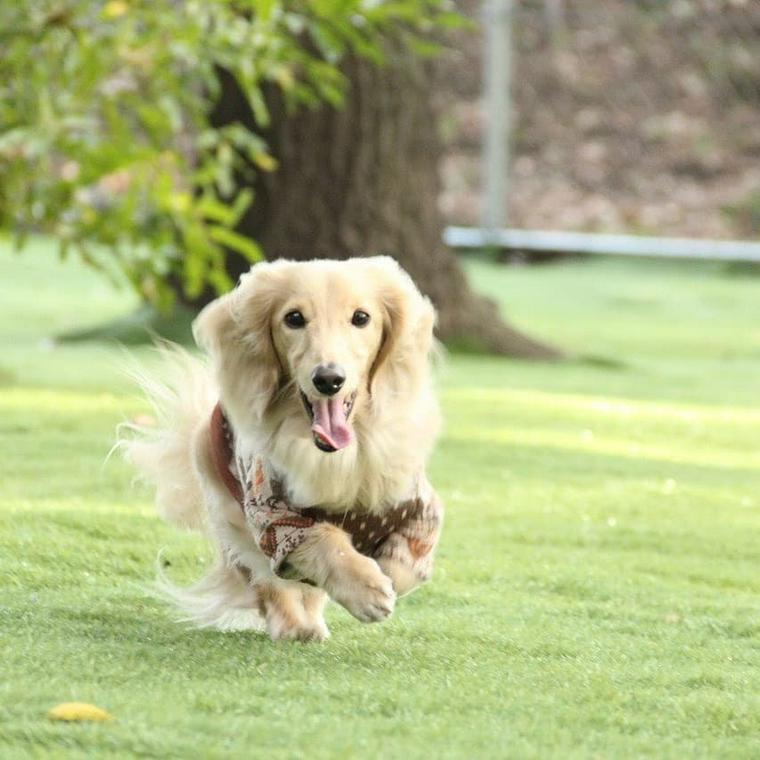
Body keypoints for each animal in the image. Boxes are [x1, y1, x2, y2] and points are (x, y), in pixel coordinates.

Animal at [124, 256, 442, 640]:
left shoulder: (419, 505)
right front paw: (366, 589)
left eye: (361, 318)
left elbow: (408, 559)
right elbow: (322, 540)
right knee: (269, 583)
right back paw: (295, 626)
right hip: (235, 521)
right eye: (294, 318)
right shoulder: (272, 517)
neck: (338, 459)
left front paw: (386, 576)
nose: (328, 379)